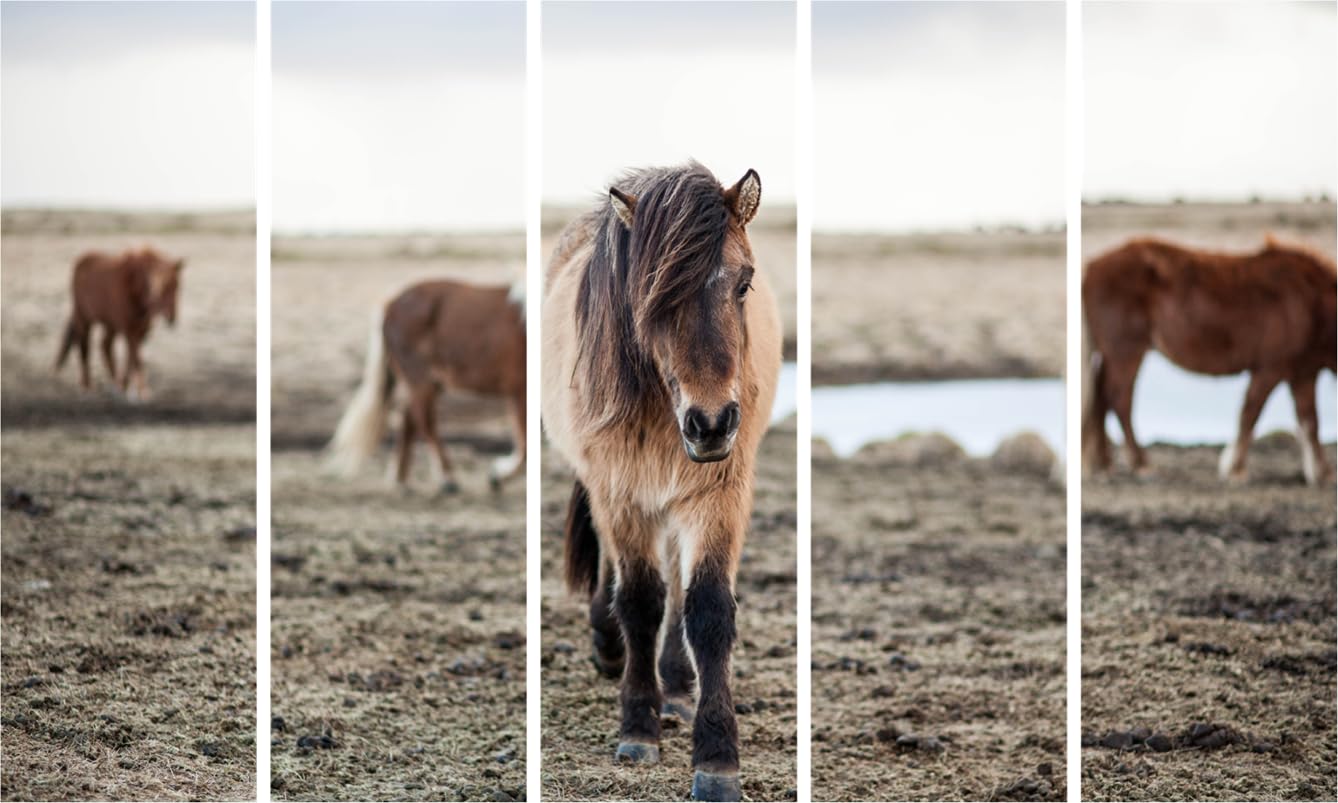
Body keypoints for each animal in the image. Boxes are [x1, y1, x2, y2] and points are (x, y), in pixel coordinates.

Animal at [55, 247, 184, 400]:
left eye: (177, 286)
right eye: (164, 288)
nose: (172, 318)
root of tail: (82, 260)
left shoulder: (141, 331)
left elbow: (131, 358)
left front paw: (124, 386)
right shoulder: (129, 329)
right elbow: (137, 359)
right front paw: (142, 391)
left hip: (110, 325)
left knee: (105, 345)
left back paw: (114, 381)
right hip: (83, 318)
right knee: (84, 347)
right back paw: (87, 386)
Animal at [325, 278, 526, 493]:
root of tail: (391, 304)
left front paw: (500, 475)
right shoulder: (519, 391)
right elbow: (526, 445)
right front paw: (499, 476)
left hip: (430, 383)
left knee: (410, 418)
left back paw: (401, 478)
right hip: (422, 381)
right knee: (424, 420)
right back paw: (446, 477)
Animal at [542, 163, 781, 802]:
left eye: (744, 284)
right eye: (653, 295)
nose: (712, 422)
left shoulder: (719, 494)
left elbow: (706, 608)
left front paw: (717, 758)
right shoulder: (620, 492)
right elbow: (640, 601)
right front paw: (637, 727)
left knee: (677, 582)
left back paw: (675, 686)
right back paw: (610, 647)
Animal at [1082, 236, 1336, 485]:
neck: (1310, 302)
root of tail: (1092, 267)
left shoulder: (1304, 372)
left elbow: (1310, 421)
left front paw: (1321, 473)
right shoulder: (1270, 368)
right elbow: (1250, 414)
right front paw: (1235, 469)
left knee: (1102, 398)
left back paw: (1104, 464)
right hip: (1126, 351)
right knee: (1119, 399)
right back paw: (1140, 464)